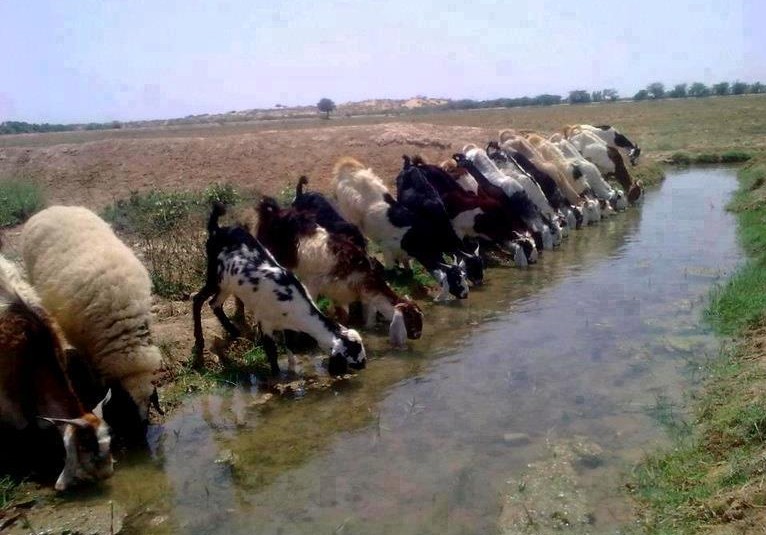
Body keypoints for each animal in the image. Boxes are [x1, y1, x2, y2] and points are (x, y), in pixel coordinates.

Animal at [21, 206, 164, 440]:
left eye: (150, 405)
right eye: (124, 407)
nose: (140, 437)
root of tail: (51, 208)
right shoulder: (85, 342)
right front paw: (95, 381)